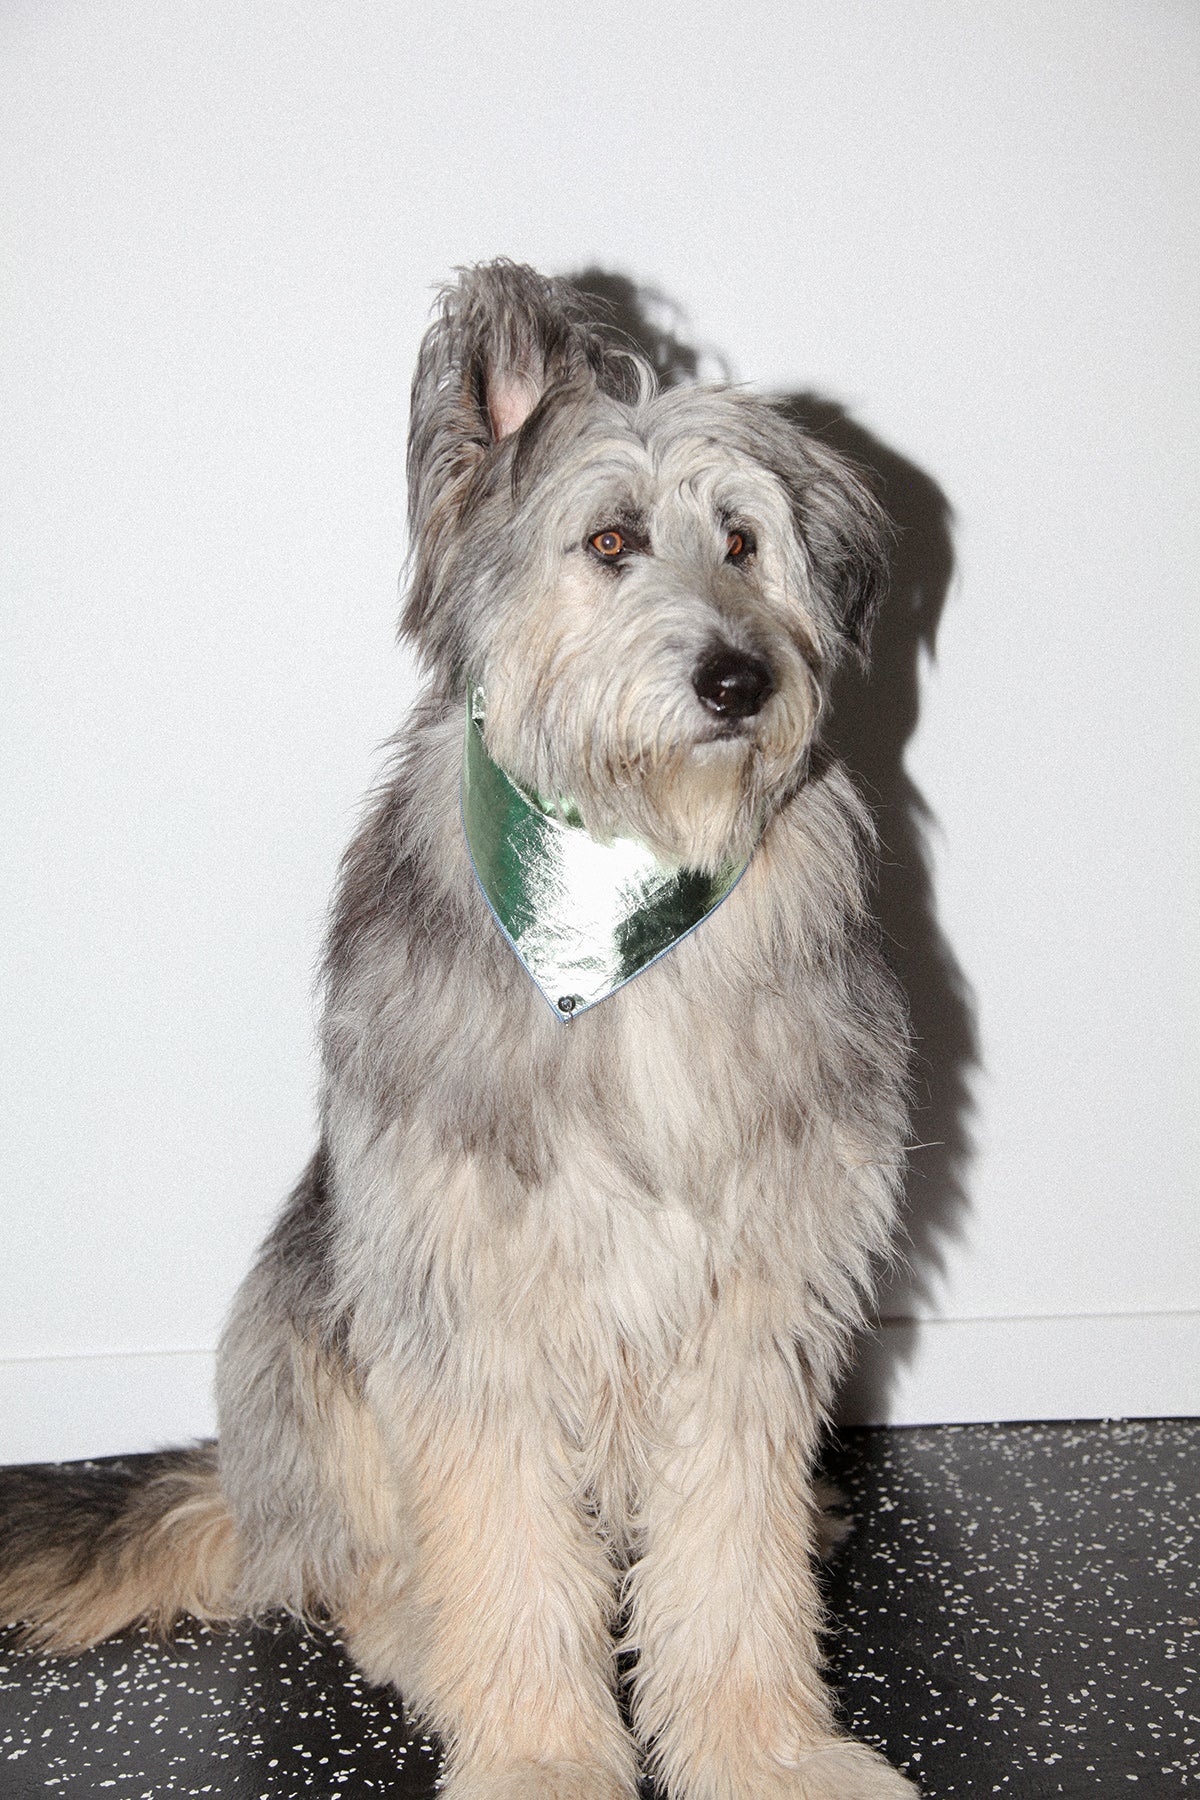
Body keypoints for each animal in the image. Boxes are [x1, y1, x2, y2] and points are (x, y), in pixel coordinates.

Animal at [2, 261, 921, 1792]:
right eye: (610, 540)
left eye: (744, 542)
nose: (741, 680)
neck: (623, 909)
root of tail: (246, 1491)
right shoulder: (469, 1301)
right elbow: (506, 1556)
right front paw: (545, 1757)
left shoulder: (753, 1303)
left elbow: (734, 1561)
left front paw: (768, 1751)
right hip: (308, 1342)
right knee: (360, 1577)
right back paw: (423, 1643)